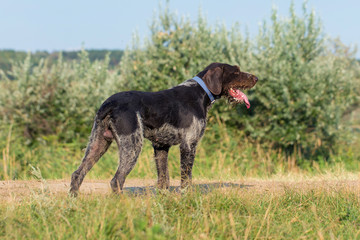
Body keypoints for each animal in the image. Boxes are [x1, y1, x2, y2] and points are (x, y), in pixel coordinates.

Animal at [69, 62, 258, 195]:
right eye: (236, 71)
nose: (256, 78)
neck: (201, 92)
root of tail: (109, 104)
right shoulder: (189, 145)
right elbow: (186, 177)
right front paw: (187, 197)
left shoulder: (160, 146)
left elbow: (163, 178)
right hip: (132, 146)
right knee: (117, 180)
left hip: (97, 143)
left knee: (77, 174)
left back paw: (73, 201)